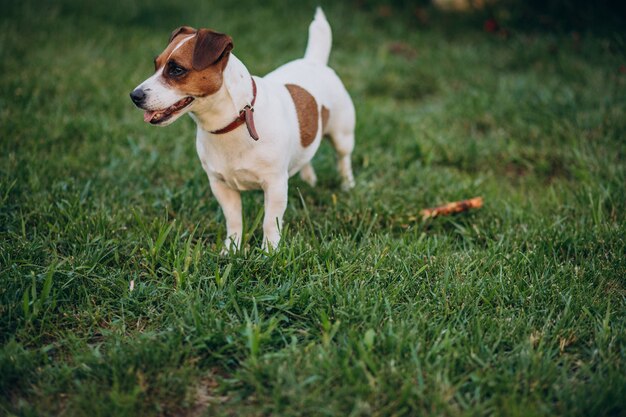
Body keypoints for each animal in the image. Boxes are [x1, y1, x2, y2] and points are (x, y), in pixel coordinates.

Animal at [130, 8, 356, 252]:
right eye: (156, 65)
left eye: (177, 70)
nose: (134, 95)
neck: (231, 123)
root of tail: (313, 61)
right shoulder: (220, 185)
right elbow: (234, 219)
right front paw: (231, 249)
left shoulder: (275, 185)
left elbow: (270, 222)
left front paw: (269, 252)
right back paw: (309, 178)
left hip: (342, 135)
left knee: (343, 158)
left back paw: (347, 185)